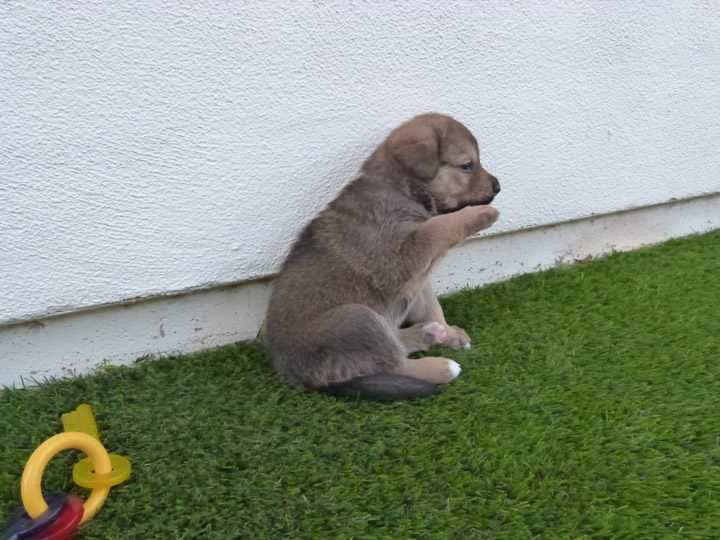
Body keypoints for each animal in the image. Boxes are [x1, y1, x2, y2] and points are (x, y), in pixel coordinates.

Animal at [264, 114, 500, 400]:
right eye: (467, 166)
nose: (498, 187)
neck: (401, 189)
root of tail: (293, 374)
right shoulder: (405, 252)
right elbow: (439, 226)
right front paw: (479, 215)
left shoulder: (417, 277)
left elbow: (432, 305)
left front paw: (449, 331)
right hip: (358, 318)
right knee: (394, 364)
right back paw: (442, 367)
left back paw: (428, 333)